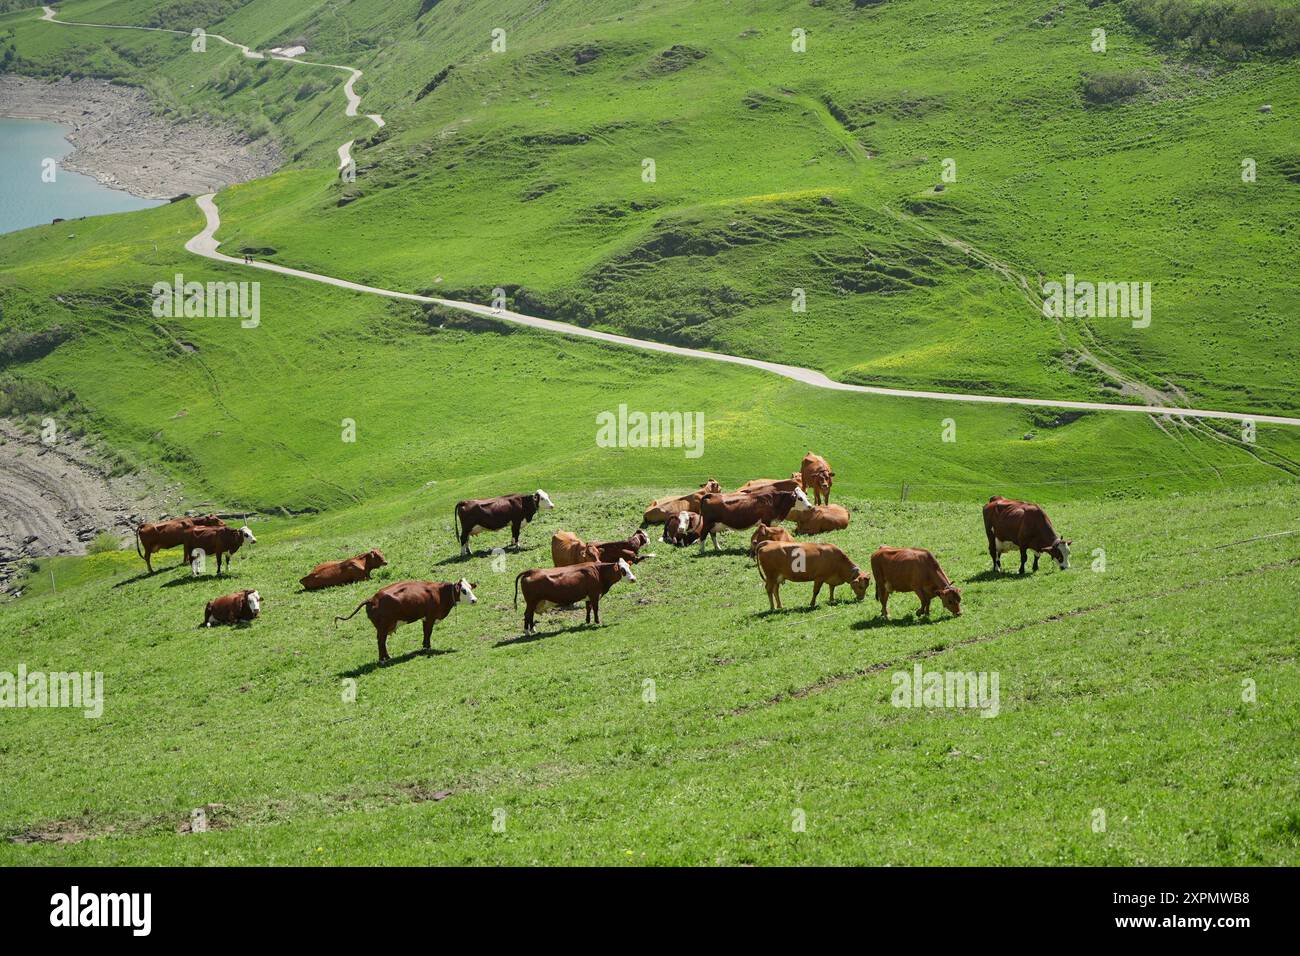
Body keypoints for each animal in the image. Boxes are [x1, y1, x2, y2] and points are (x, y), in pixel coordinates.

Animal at [335, 574, 478, 665]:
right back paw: (383, 660)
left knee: (382, 642)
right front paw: (428, 647)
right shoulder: (430, 617)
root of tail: (372, 599)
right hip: (382, 628)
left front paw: (425, 646)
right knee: (381, 642)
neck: (439, 593)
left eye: (471, 588)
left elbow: (425, 632)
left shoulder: (425, 618)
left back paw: (387, 657)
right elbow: (428, 632)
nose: (474, 600)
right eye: (464, 590)